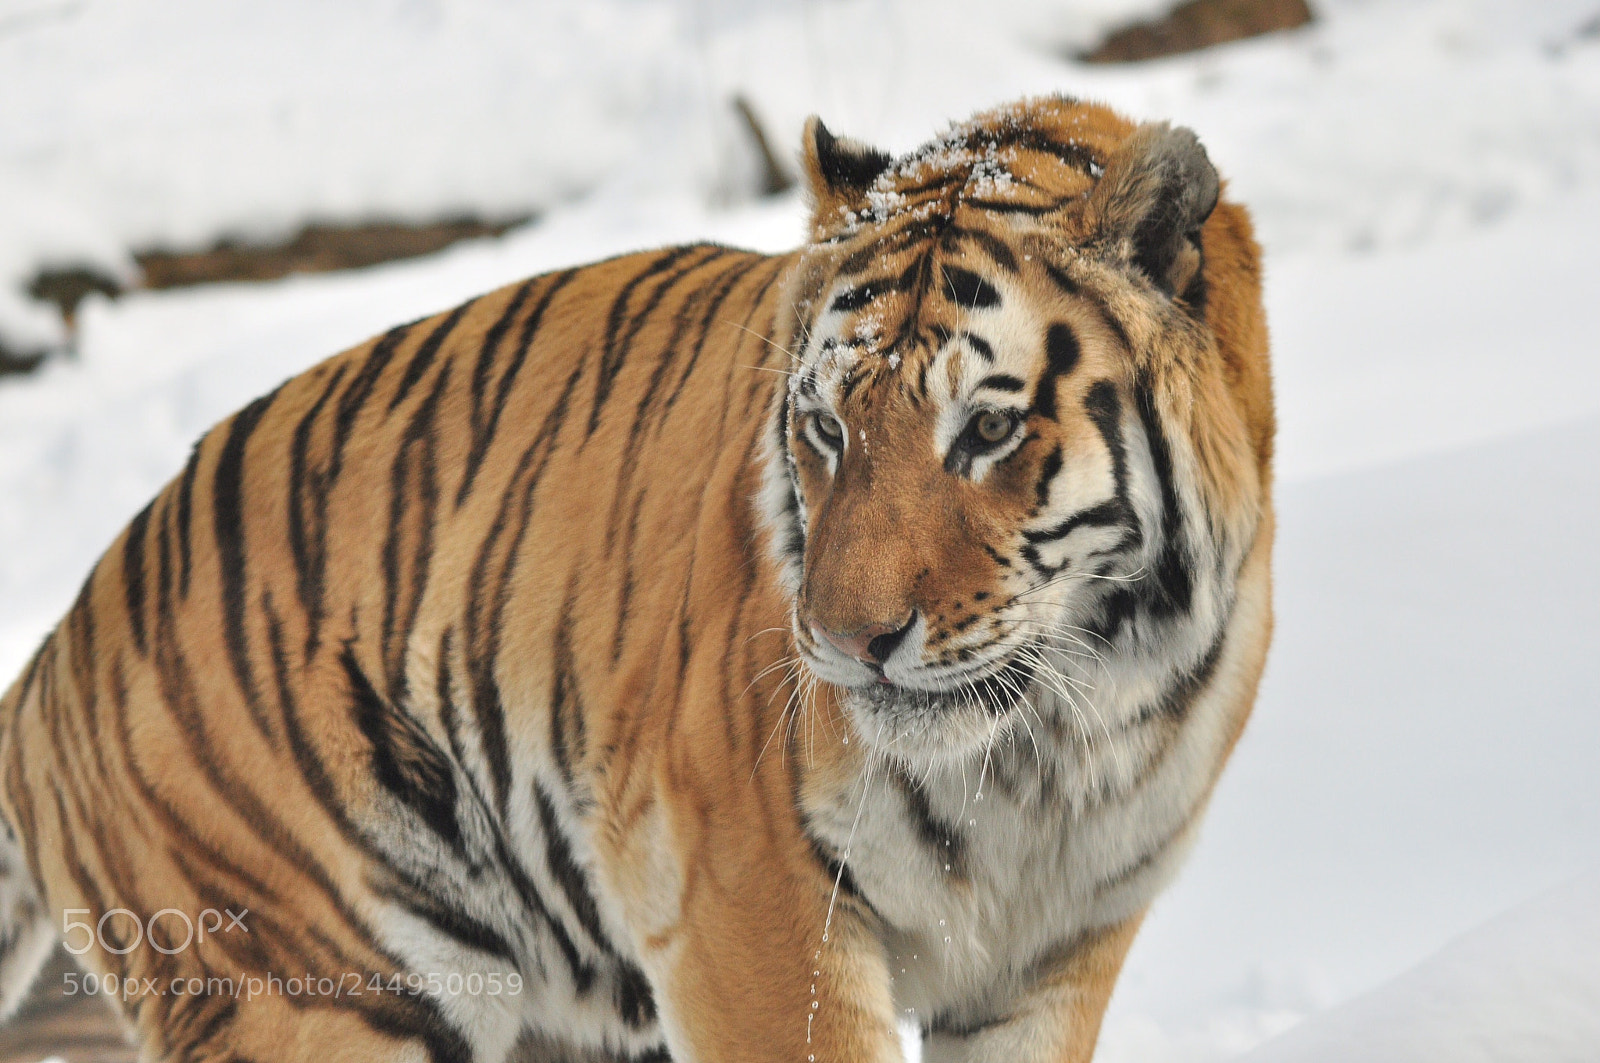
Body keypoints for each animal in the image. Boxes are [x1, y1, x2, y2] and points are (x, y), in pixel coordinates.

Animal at [0, 94, 1273, 1063]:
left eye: (989, 431)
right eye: (827, 427)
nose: (843, 643)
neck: (1060, 746)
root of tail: (58, 644)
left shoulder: (1054, 955)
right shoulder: (752, 913)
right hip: (317, 985)